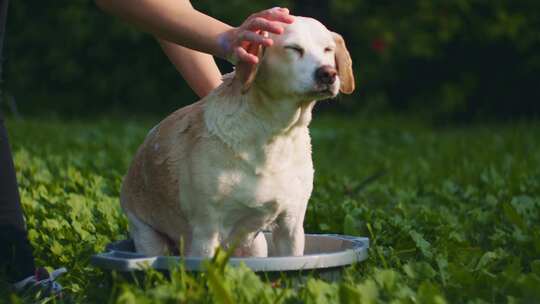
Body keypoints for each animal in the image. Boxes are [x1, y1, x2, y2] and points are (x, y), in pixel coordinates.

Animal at [121, 16, 354, 258]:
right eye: (293, 48)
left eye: (327, 49)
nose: (328, 73)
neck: (275, 136)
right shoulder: (206, 234)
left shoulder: (291, 227)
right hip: (149, 238)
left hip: (257, 246)